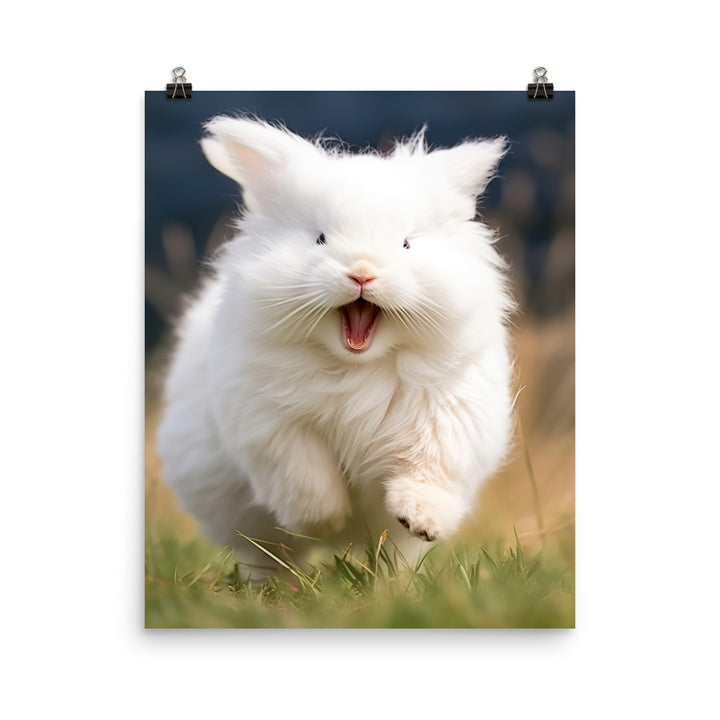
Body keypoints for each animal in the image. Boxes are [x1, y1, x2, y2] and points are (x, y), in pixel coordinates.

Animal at [156, 116, 515, 576]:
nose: (362, 273)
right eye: (320, 239)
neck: (357, 364)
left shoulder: (445, 419)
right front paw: (323, 521)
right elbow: (305, 476)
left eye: (406, 243)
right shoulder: (273, 426)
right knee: (268, 553)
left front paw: (421, 519)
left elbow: (428, 469)